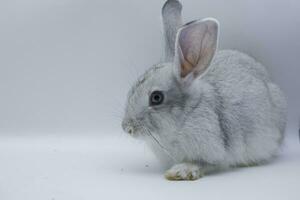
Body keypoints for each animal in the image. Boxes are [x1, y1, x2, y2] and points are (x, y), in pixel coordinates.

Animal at [120, 0, 288, 181]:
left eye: (156, 97)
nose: (127, 127)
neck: (184, 117)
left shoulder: (214, 150)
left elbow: (205, 163)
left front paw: (180, 171)